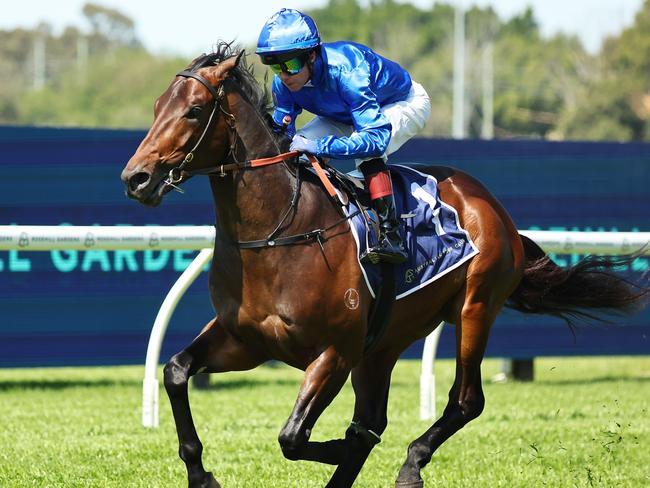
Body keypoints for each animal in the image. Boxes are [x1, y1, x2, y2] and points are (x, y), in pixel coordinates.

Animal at [119, 43, 644, 486]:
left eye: (193, 109)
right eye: (157, 107)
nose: (136, 177)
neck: (276, 233)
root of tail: (492, 206)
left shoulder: (335, 351)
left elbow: (295, 437)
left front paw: (344, 447)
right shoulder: (246, 340)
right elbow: (176, 371)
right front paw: (200, 473)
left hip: (474, 308)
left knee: (464, 401)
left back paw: (412, 464)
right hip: (385, 341)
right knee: (377, 415)